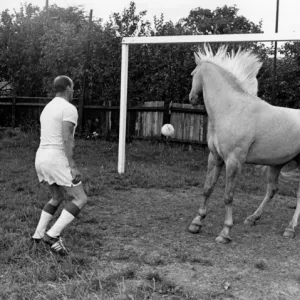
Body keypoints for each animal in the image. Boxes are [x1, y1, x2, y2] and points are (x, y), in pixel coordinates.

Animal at [189, 44, 300, 244]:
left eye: (192, 73)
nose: (191, 98)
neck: (231, 109)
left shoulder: (234, 162)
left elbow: (228, 196)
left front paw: (225, 232)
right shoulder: (215, 158)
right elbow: (207, 188)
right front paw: (196, 223)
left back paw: (290, 229)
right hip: (276, 164)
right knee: (272, 189)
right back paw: (253, 218)